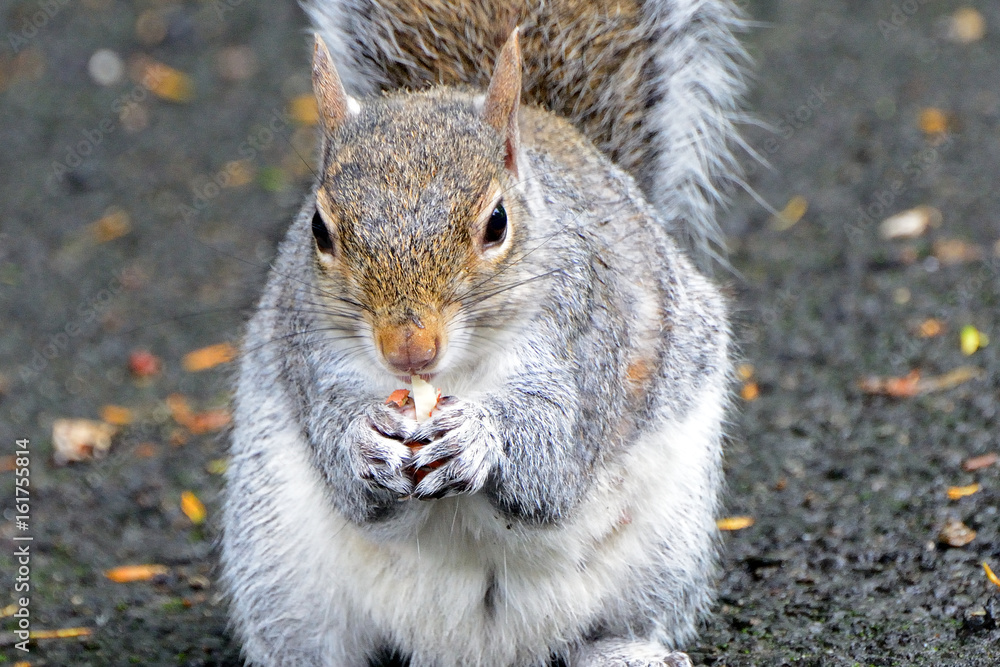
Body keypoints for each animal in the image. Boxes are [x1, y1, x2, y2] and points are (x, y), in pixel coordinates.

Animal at [222, 1, 744, 666]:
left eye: (497, 223)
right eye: (318, 229)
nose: (409, 348)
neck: (455, 375)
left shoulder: (590, 339)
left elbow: (554, 458)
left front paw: (479, 438)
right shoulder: (310, 354)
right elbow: (341, 457)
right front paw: (364, 440)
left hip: (666, 545)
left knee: (613, 626)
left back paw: (625, 652)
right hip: (277, 563)